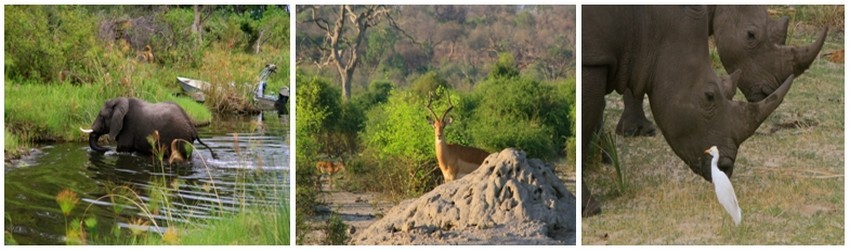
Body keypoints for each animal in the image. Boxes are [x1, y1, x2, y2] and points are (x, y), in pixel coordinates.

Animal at [80, 97, 215, 160]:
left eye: (101, 116)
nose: (108, 148)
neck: (121, 101)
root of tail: (193, 127)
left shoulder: (128, 127)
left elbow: (123, 148)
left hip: (181, 138)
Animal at [580, 5, 792, 216]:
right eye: (709, 96)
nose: (725, 167)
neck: (650, 19)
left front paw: (606, 155)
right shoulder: (592, 58)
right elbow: (585, 123)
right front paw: (590, 208)